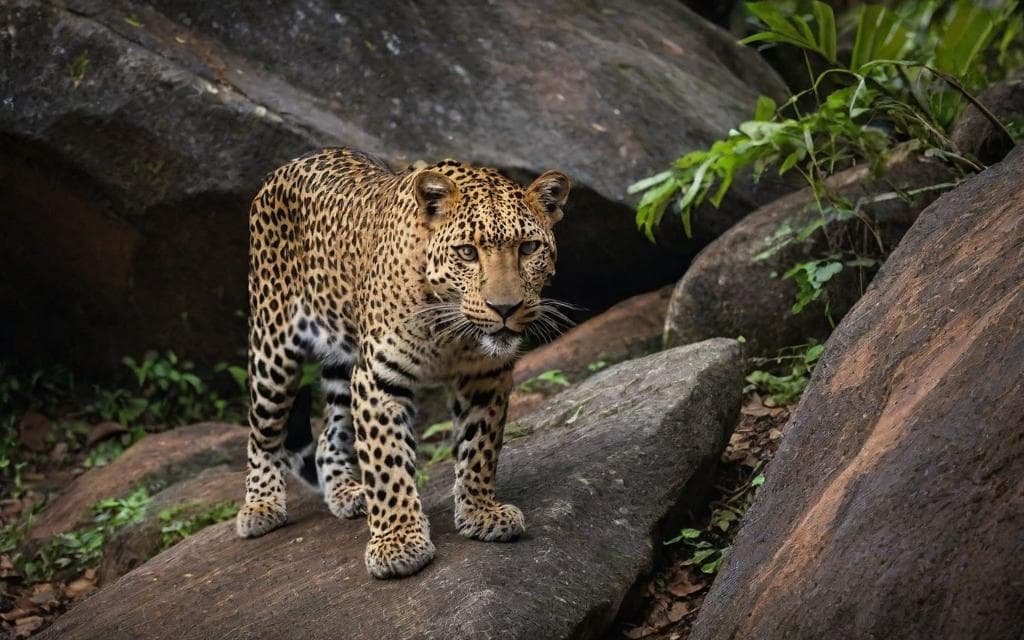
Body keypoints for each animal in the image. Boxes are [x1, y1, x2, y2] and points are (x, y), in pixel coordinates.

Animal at [235, 147, 570, 579]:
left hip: (343, 361)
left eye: (528, 249)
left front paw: (480, 512)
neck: (449, 330)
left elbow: (479, 448)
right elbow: (387, 462)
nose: (505, 308)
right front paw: (398, 543)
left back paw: (347, 492)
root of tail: (295, 162)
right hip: (273, 348)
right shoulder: (379, 378)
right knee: (262, 432)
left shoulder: (485, 375)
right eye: (467, 252)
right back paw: (260, 506)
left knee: (329, 434)